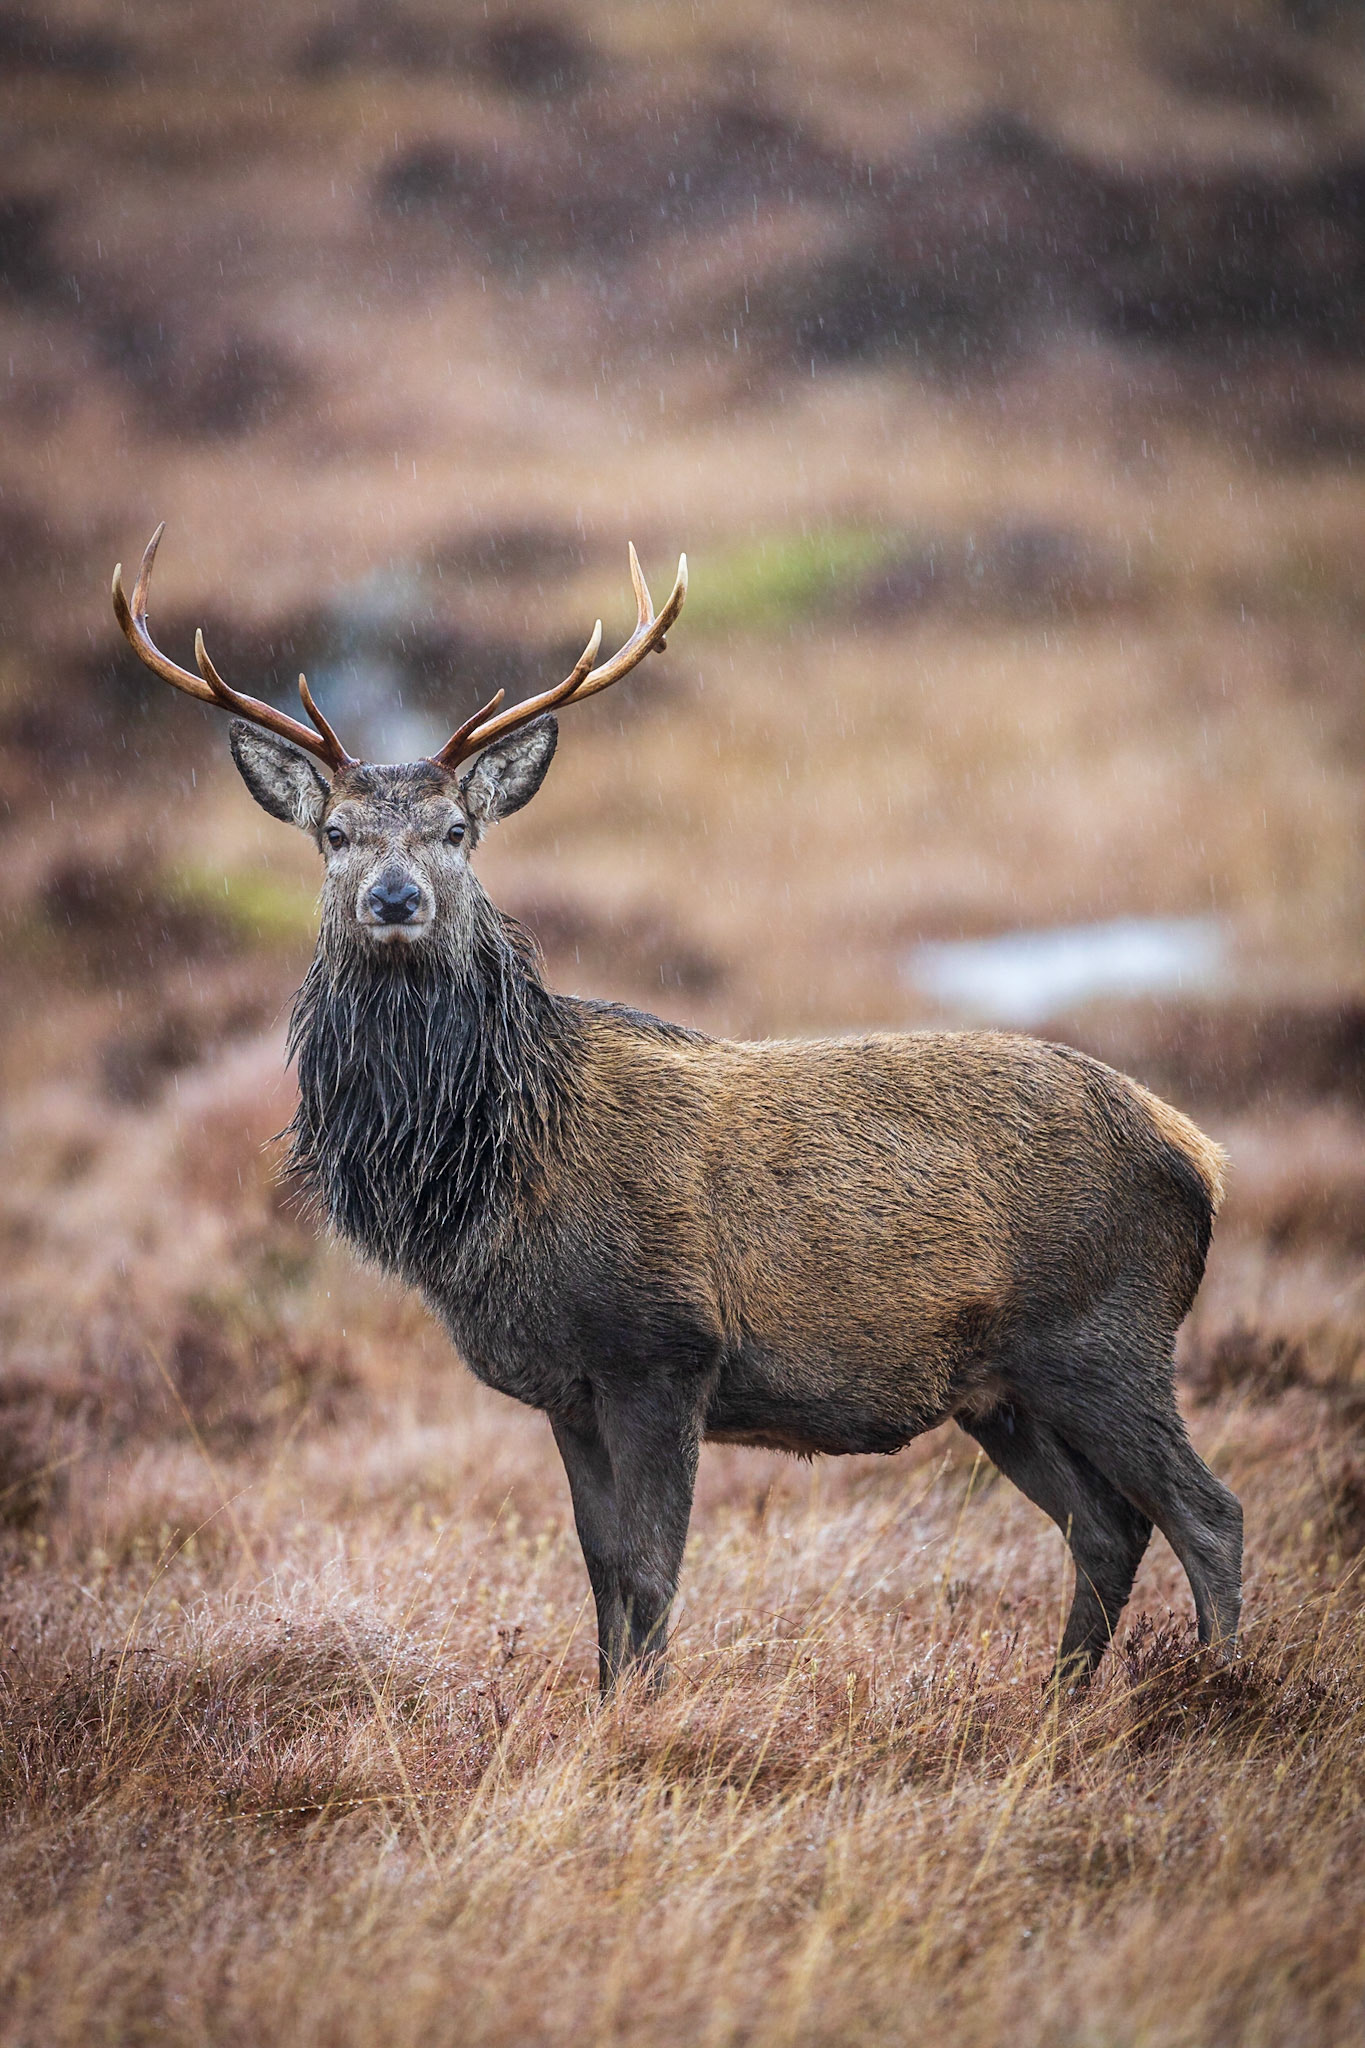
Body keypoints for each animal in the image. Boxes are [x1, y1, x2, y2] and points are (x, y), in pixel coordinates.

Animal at [112, 524, 1242, 1696]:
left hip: (1104, 1334)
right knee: (1107, 1524)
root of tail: (1198, 1155)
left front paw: (647, 1716)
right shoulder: (567, 1386)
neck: (493, 1178)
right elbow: (603, 1571)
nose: (394, 899)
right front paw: (609, 1706)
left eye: (458, 828)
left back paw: (1221, 1687)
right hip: (1003, 1386)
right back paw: (1062, 1700)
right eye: (334, 833)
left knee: (1206, 1513)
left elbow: (653, 1569)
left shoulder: (663, 1349)